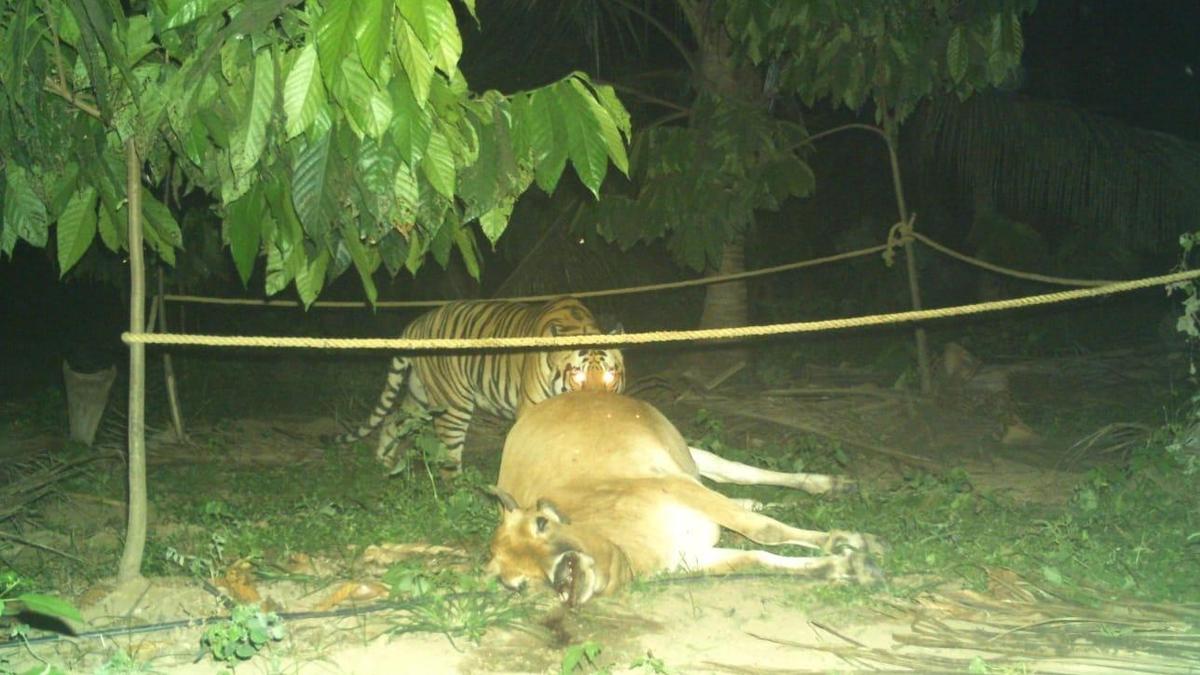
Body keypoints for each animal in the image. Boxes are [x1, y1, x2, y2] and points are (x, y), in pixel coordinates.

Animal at [334, 297, 625, 474]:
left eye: (610, 376)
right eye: (577, 377)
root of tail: (418, 322)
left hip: (420, 396)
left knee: (393, 418)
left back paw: (383, 460)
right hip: (453, 403)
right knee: (449, 456)